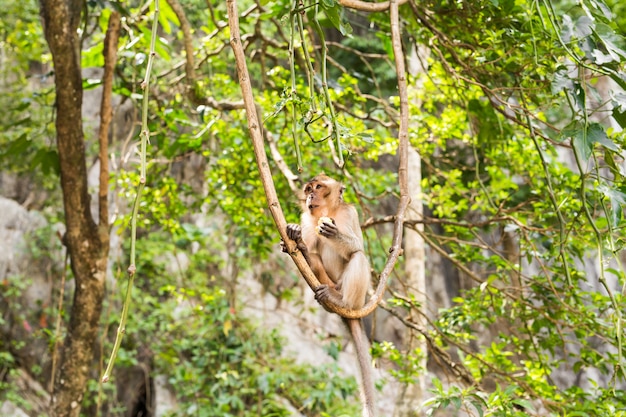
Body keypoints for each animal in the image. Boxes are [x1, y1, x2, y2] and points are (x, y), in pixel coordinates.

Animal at [282, 173, 376, 416]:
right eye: (308, 189)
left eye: (318, 187)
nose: (310, 196)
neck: (330, 211)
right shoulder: (307, 219)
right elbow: (303, 244)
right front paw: (296, 239)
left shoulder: (350, 213)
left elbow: (357, 246)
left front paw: (336, 234)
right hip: (326, 281)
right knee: (314, 258)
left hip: (354, 295)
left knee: (359, 256)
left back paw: (341, 300)